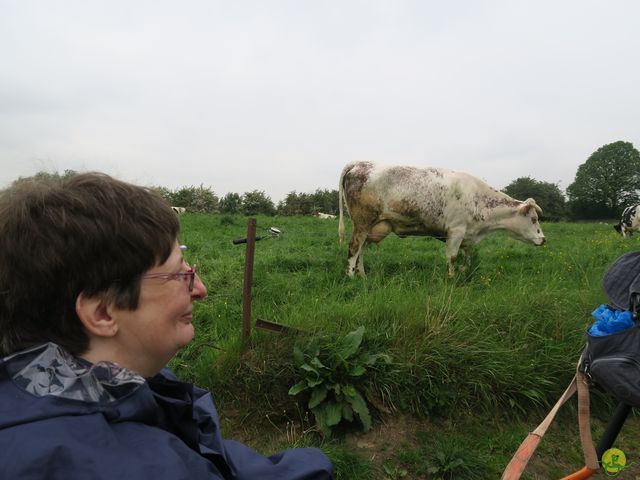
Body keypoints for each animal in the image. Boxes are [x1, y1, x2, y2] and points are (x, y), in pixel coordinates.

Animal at [338, 161, 548, 276]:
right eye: (534, 218)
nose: (544, 239)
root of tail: (360, 162)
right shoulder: (456, 230)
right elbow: (452, 257)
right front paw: (451, 277)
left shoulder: (468, 235)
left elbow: (468, 256)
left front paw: (464, 272)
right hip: (362, 222)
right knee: (354, 248)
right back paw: (351, 277)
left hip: (373, 226)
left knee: (361, 251)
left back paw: (362, 276)